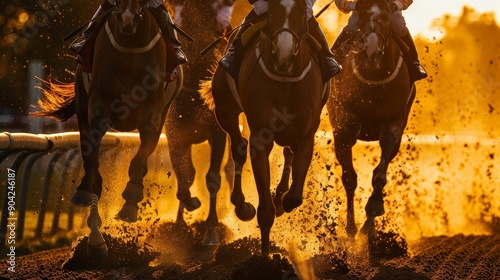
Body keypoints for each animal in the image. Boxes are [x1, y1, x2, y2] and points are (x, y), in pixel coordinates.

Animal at [35, 0, 184, 256]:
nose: (127, 19)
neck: (131, 46)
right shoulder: (98, 104)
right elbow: (93, 160)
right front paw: (85, 192)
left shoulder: (154, 111)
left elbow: (141, 157)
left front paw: (131, 200)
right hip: (82, 106)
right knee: (92, 165)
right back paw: (96, 237)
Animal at [164, 0, 234, 245]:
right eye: (178, 27)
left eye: (218, 32)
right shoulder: (175, 135)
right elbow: (185, 175)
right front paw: (179, 225)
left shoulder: (217, 134)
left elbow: (212, 178)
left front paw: (211, 230)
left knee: (230, 167)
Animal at [201, 0, 330, 254]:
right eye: (274, 9)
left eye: (300, 11)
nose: (283, 55)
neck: (285, 81)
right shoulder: (260, 137)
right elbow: (265, 212)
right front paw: (263, 255)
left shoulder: (306, 133)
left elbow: (294, 197)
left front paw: (282, 199)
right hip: (225, 110)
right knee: (239, 148)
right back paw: (242, 205)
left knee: (287, 154)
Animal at [330, 0, 416, 238]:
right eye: (361, 16)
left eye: (385, 18)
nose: (370, 51)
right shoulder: (344, 127)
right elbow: (349, 178)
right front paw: (350, 227)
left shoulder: (393, 124)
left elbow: (380, 172)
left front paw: (374, 207)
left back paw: (369, 226)